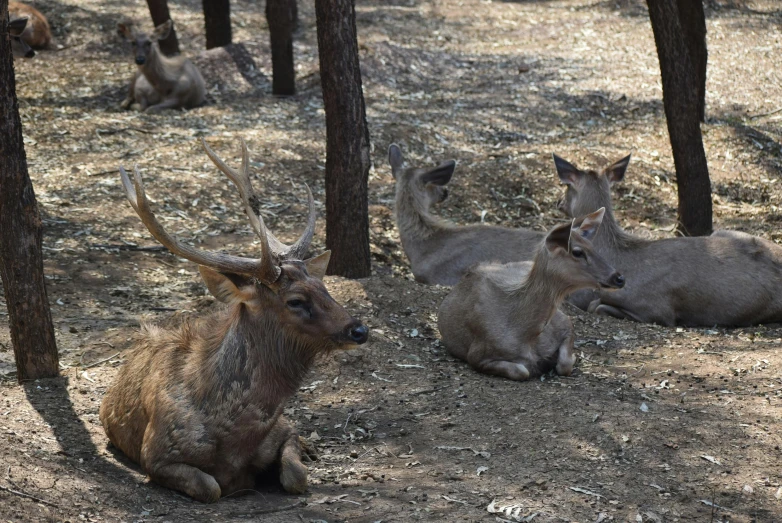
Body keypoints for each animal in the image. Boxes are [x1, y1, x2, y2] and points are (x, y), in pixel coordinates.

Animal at [100, 138, 370, 504]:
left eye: (324, 287)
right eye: (295, 300)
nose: (358, 329)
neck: (235, 440)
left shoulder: (281, 430)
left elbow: (296, 475)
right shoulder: (156, 454)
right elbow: (211, 488)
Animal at [434, 207, 624, 382]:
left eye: (593, 247)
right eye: (577, 252)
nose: (619, 278)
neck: (527, 336)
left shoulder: (565, 323)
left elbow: (565, 364)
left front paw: (571, 357)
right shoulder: (477, 355)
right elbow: (522, 371)